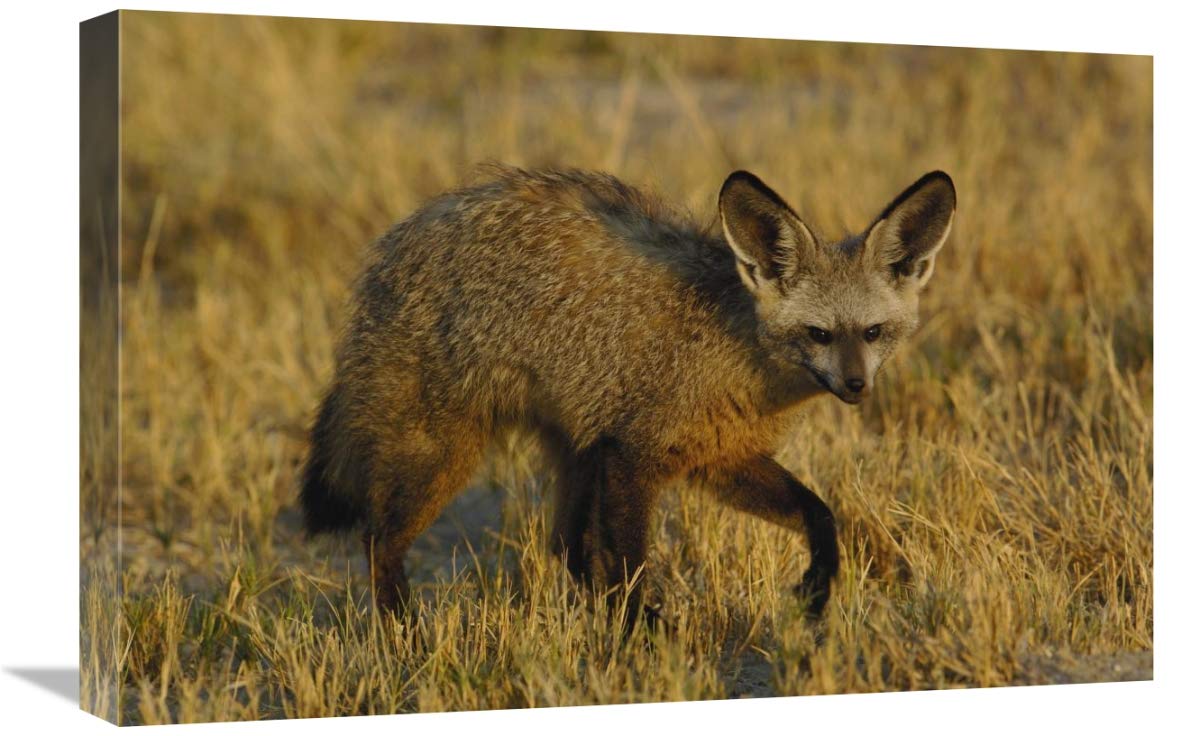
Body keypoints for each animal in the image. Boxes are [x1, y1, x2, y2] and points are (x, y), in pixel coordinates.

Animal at [300, 164, 955, 630]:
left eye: (873, 333)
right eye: (819, 334)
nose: (856, 387)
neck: (731, 355)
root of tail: (397, 238)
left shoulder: (720, 458)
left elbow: (821, 513)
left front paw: (818, 588)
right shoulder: (633, 455)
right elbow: (633, 566)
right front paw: (648, 632)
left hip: (573, 451)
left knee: (565, 548)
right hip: (444, 455)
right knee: (379, 540)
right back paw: (404, 630)